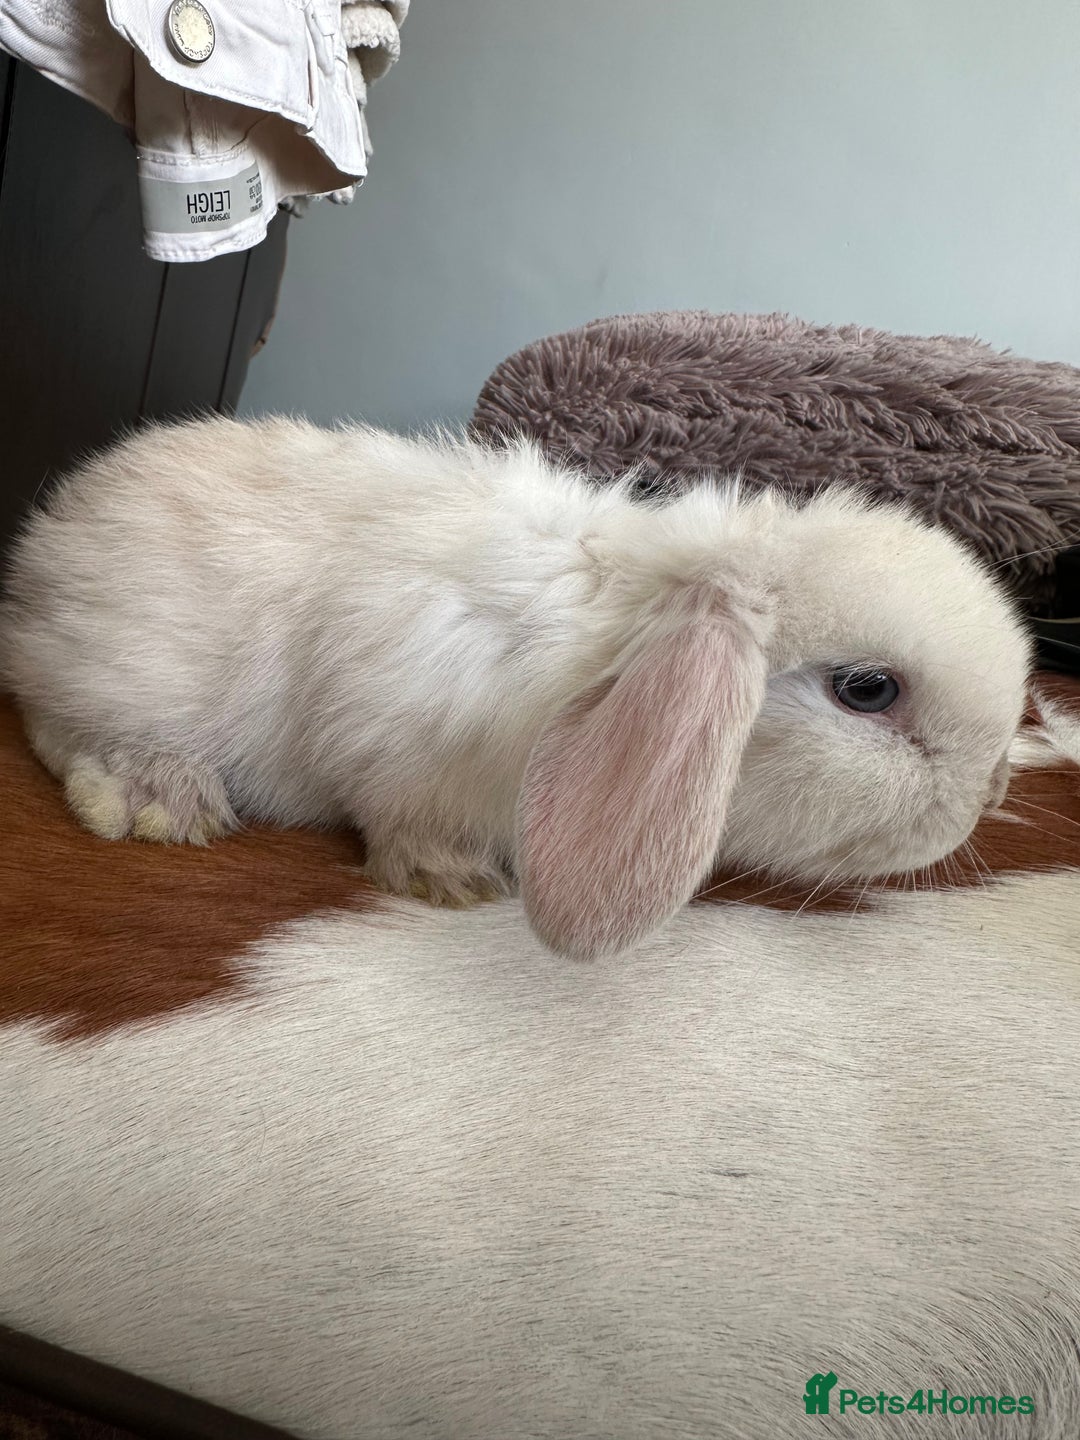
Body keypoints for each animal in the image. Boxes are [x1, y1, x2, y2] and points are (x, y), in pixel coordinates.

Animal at [1, 415, 1031, 960]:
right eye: (868, 690)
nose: (989, 795)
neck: (616, 642)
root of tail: (47, 545)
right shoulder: (400, 735)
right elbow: (401, 812)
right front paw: (453, 882)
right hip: (120, 671)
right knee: (57, 726)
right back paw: (157, 798)